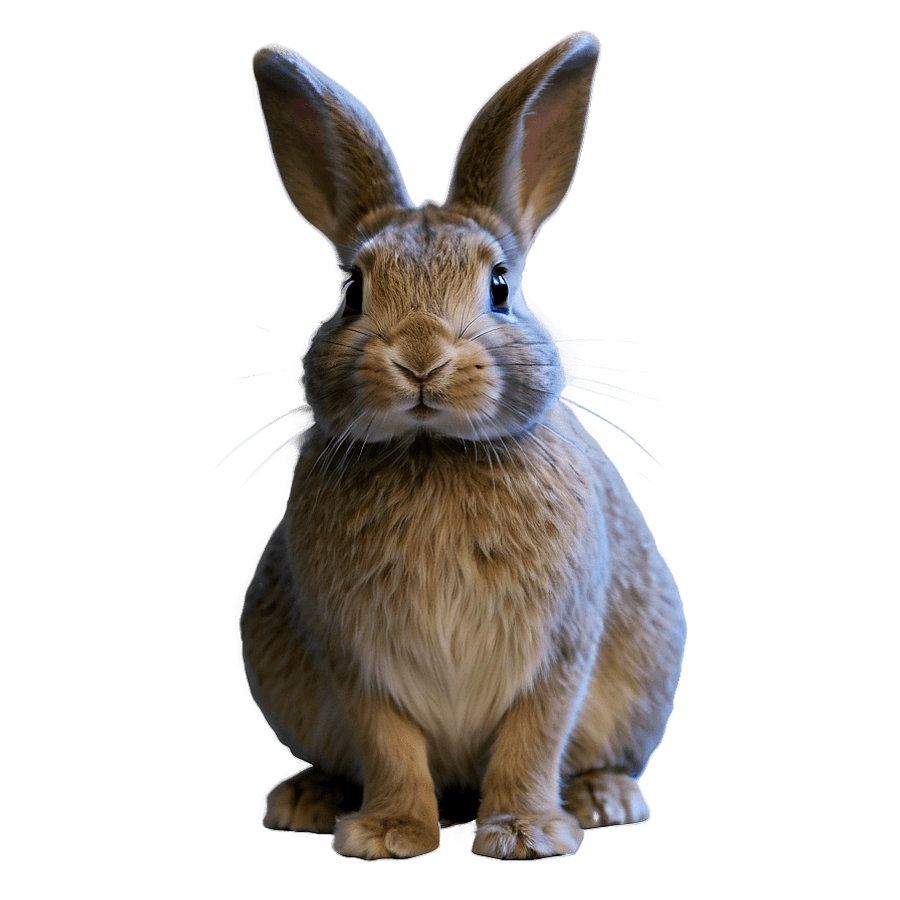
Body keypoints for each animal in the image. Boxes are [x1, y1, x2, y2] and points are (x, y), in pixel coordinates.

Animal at [234, 31, 686, 861]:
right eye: (353, 292)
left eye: (501, 286)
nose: (422, 358)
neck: (432, 450)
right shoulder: (357, 660)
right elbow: (388, 743)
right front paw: (387, 837)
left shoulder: (558, 650)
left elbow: (532, 738)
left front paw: (525, 836)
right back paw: (308, 801)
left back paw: (603, 799)